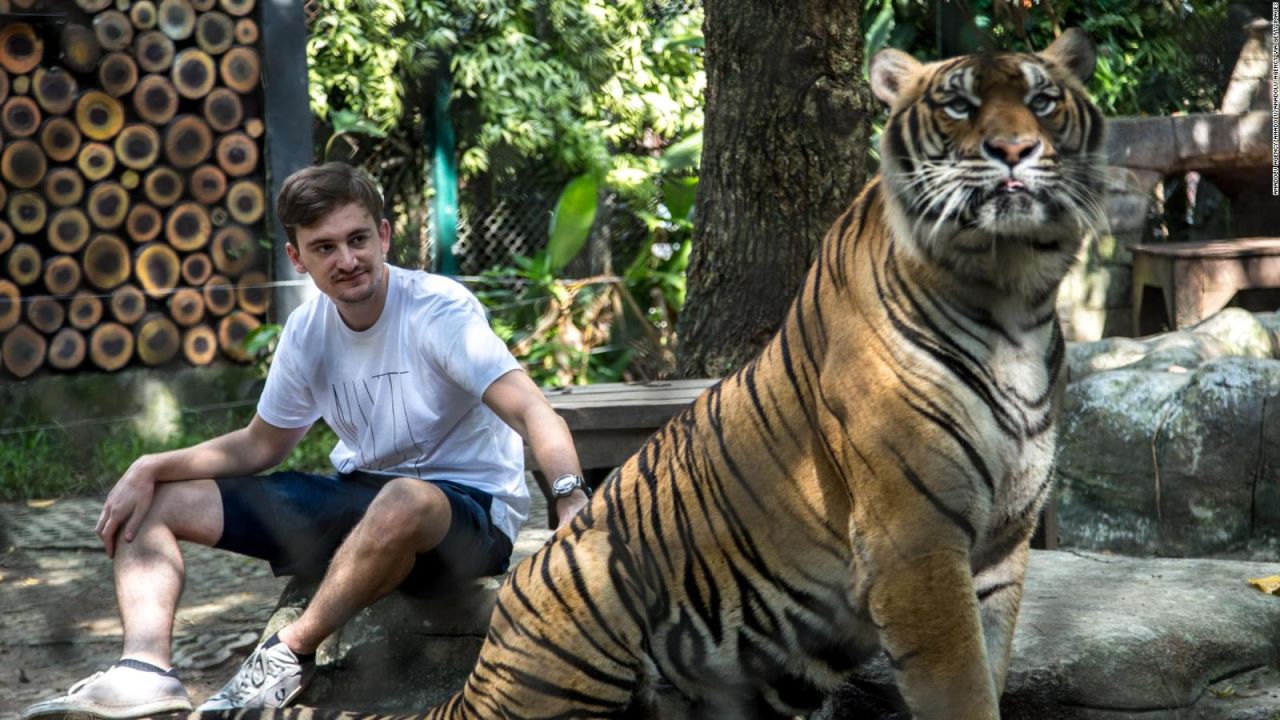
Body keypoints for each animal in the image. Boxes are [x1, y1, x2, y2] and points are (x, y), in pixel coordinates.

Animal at [204, 28, 1105, 717]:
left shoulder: (999, 549)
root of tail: (495, 641)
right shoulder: (915, 542)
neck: (1012, 299)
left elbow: (991, 668)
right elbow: (962, 690)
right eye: (957, 104)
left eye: (1043, 100)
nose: (1016, 149)